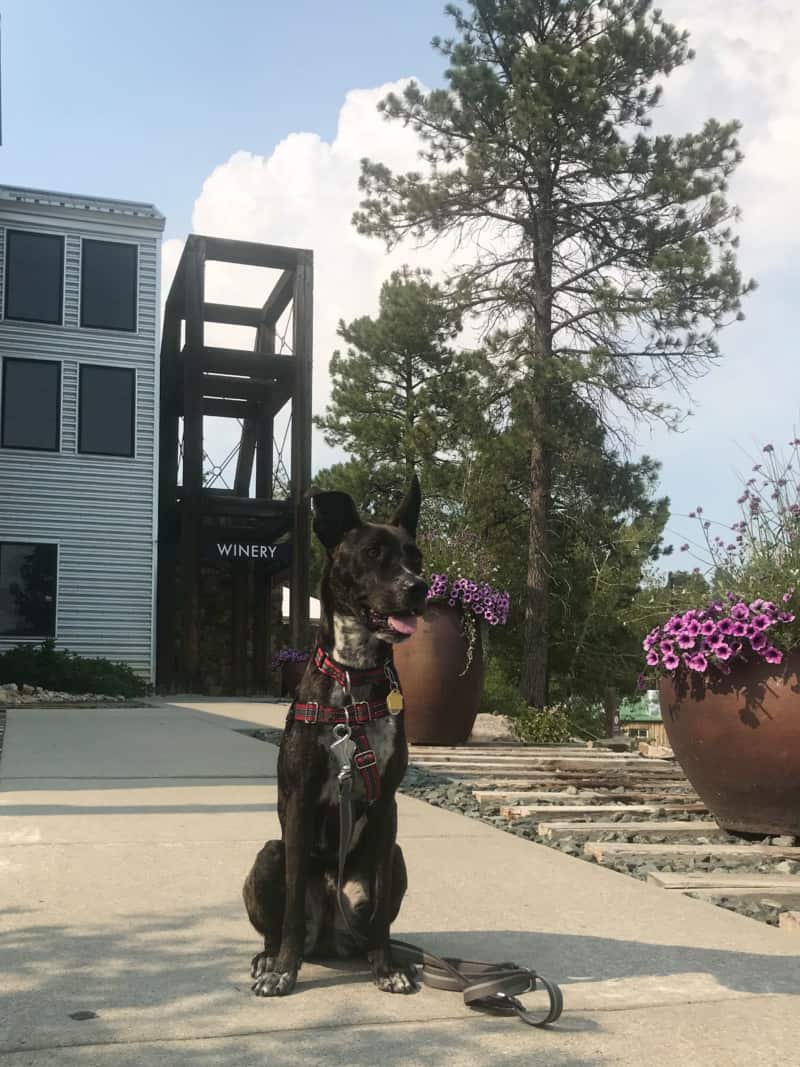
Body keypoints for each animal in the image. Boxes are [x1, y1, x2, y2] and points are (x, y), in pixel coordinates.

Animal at [243, 480, 428, 994]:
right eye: (372, 552)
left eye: (416, 555)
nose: (419, 587)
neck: (353, 676)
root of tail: (327, 935)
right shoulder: (301, 798)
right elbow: (288, 911)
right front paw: (284, 970)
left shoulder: (386, 808)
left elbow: (381, 910)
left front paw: (388, 967)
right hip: (269, 854)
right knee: (276, 925)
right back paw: (269, 959)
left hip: (398, 857)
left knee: (371, 920)